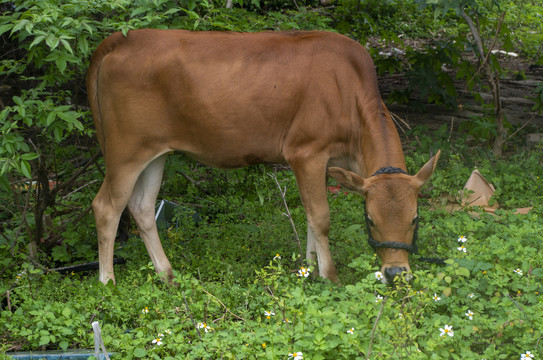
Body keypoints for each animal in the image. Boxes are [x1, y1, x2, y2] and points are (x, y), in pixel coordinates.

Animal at [87, 29, 440, 286]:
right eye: (370, 219)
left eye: (415, 218)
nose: (396, 274)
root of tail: (123, 37)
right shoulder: (306, 151)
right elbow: (321, 217)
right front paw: (330, 277)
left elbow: (309, 216)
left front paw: (308, 270)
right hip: (125, 150)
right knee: (107, 207)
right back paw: (108, 282)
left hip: (154, 152)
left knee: (143, 207)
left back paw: (167, 275)